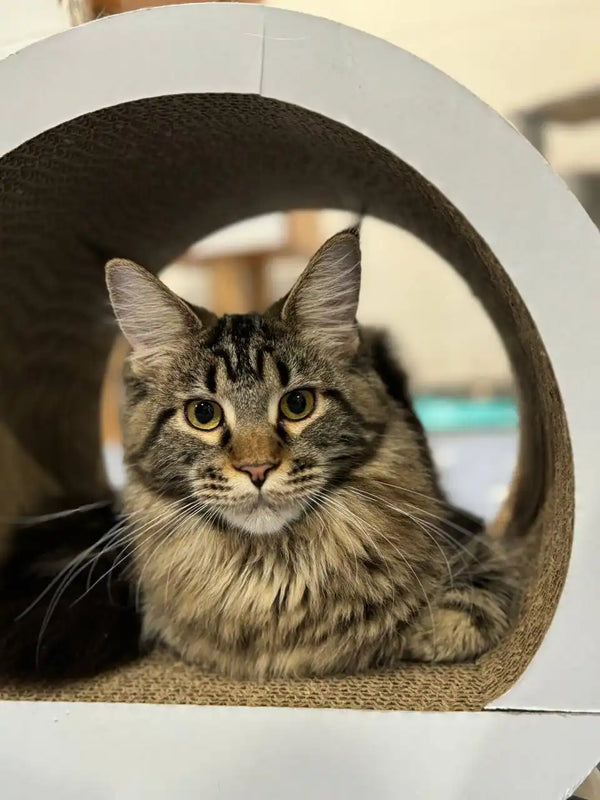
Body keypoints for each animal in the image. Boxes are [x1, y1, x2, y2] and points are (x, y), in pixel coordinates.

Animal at [0, 230, 516, 680]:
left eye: (297, 404)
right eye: (203, 414)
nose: (257, 468)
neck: (273, 578)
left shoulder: (468, 535)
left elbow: (477, 598)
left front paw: (431, 631)